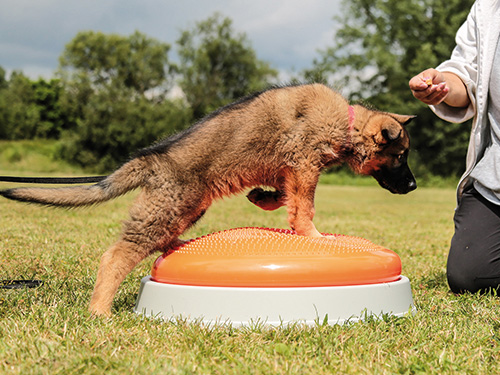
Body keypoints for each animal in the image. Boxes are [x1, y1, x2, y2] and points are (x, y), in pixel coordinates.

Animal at [0, 83, 416, 316]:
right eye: (400, 157)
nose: (413, 187)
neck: (347, 122)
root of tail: (152, 159)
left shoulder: (289, 168)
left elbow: (284, 196)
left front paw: (262, 198)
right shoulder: (304, 163)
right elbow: (304, 205)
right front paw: (311, 234)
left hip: (187, 207)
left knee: (157, 241)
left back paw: (179, 245)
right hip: (168, 210)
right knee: (115, 257)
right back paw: (100, 311)